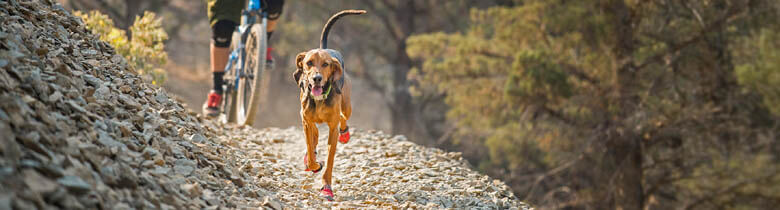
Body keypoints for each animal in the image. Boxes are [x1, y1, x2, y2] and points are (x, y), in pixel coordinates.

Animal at [292, 10, 366, 202]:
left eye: (325, 64)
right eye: (309, 63)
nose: (317, 78)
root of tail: (326, 48)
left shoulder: (332, 129)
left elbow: (330, 160)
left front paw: (326, 187)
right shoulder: (306, 121)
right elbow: (310, 149)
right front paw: (313, 163)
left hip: (346, 104)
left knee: (343, 117)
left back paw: (344, 133)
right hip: (308, 118)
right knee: (314, 134)